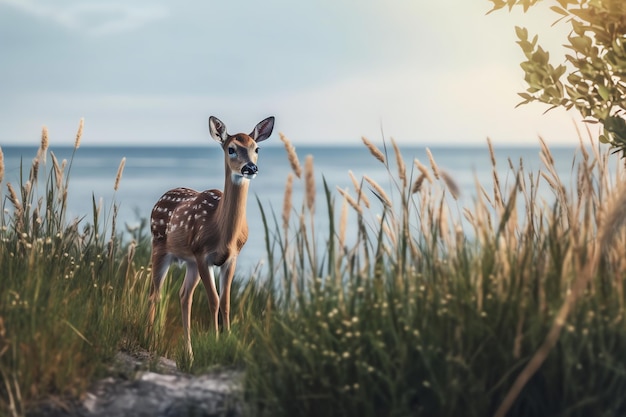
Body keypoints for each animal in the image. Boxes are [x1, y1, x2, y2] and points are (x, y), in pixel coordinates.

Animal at [147, 114, 274, 358]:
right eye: (231, 149)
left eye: (257, 148)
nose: (250, 167)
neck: (222, 232)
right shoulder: (202, 254)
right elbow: (213, 300)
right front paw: (215, 342)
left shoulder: (231, 258)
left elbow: (226, 301)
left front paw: (227, 340)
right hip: (159, 246)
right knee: (154, 293)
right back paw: (149, 338)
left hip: (189, 262)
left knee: (183, 295)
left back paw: (188, 352)